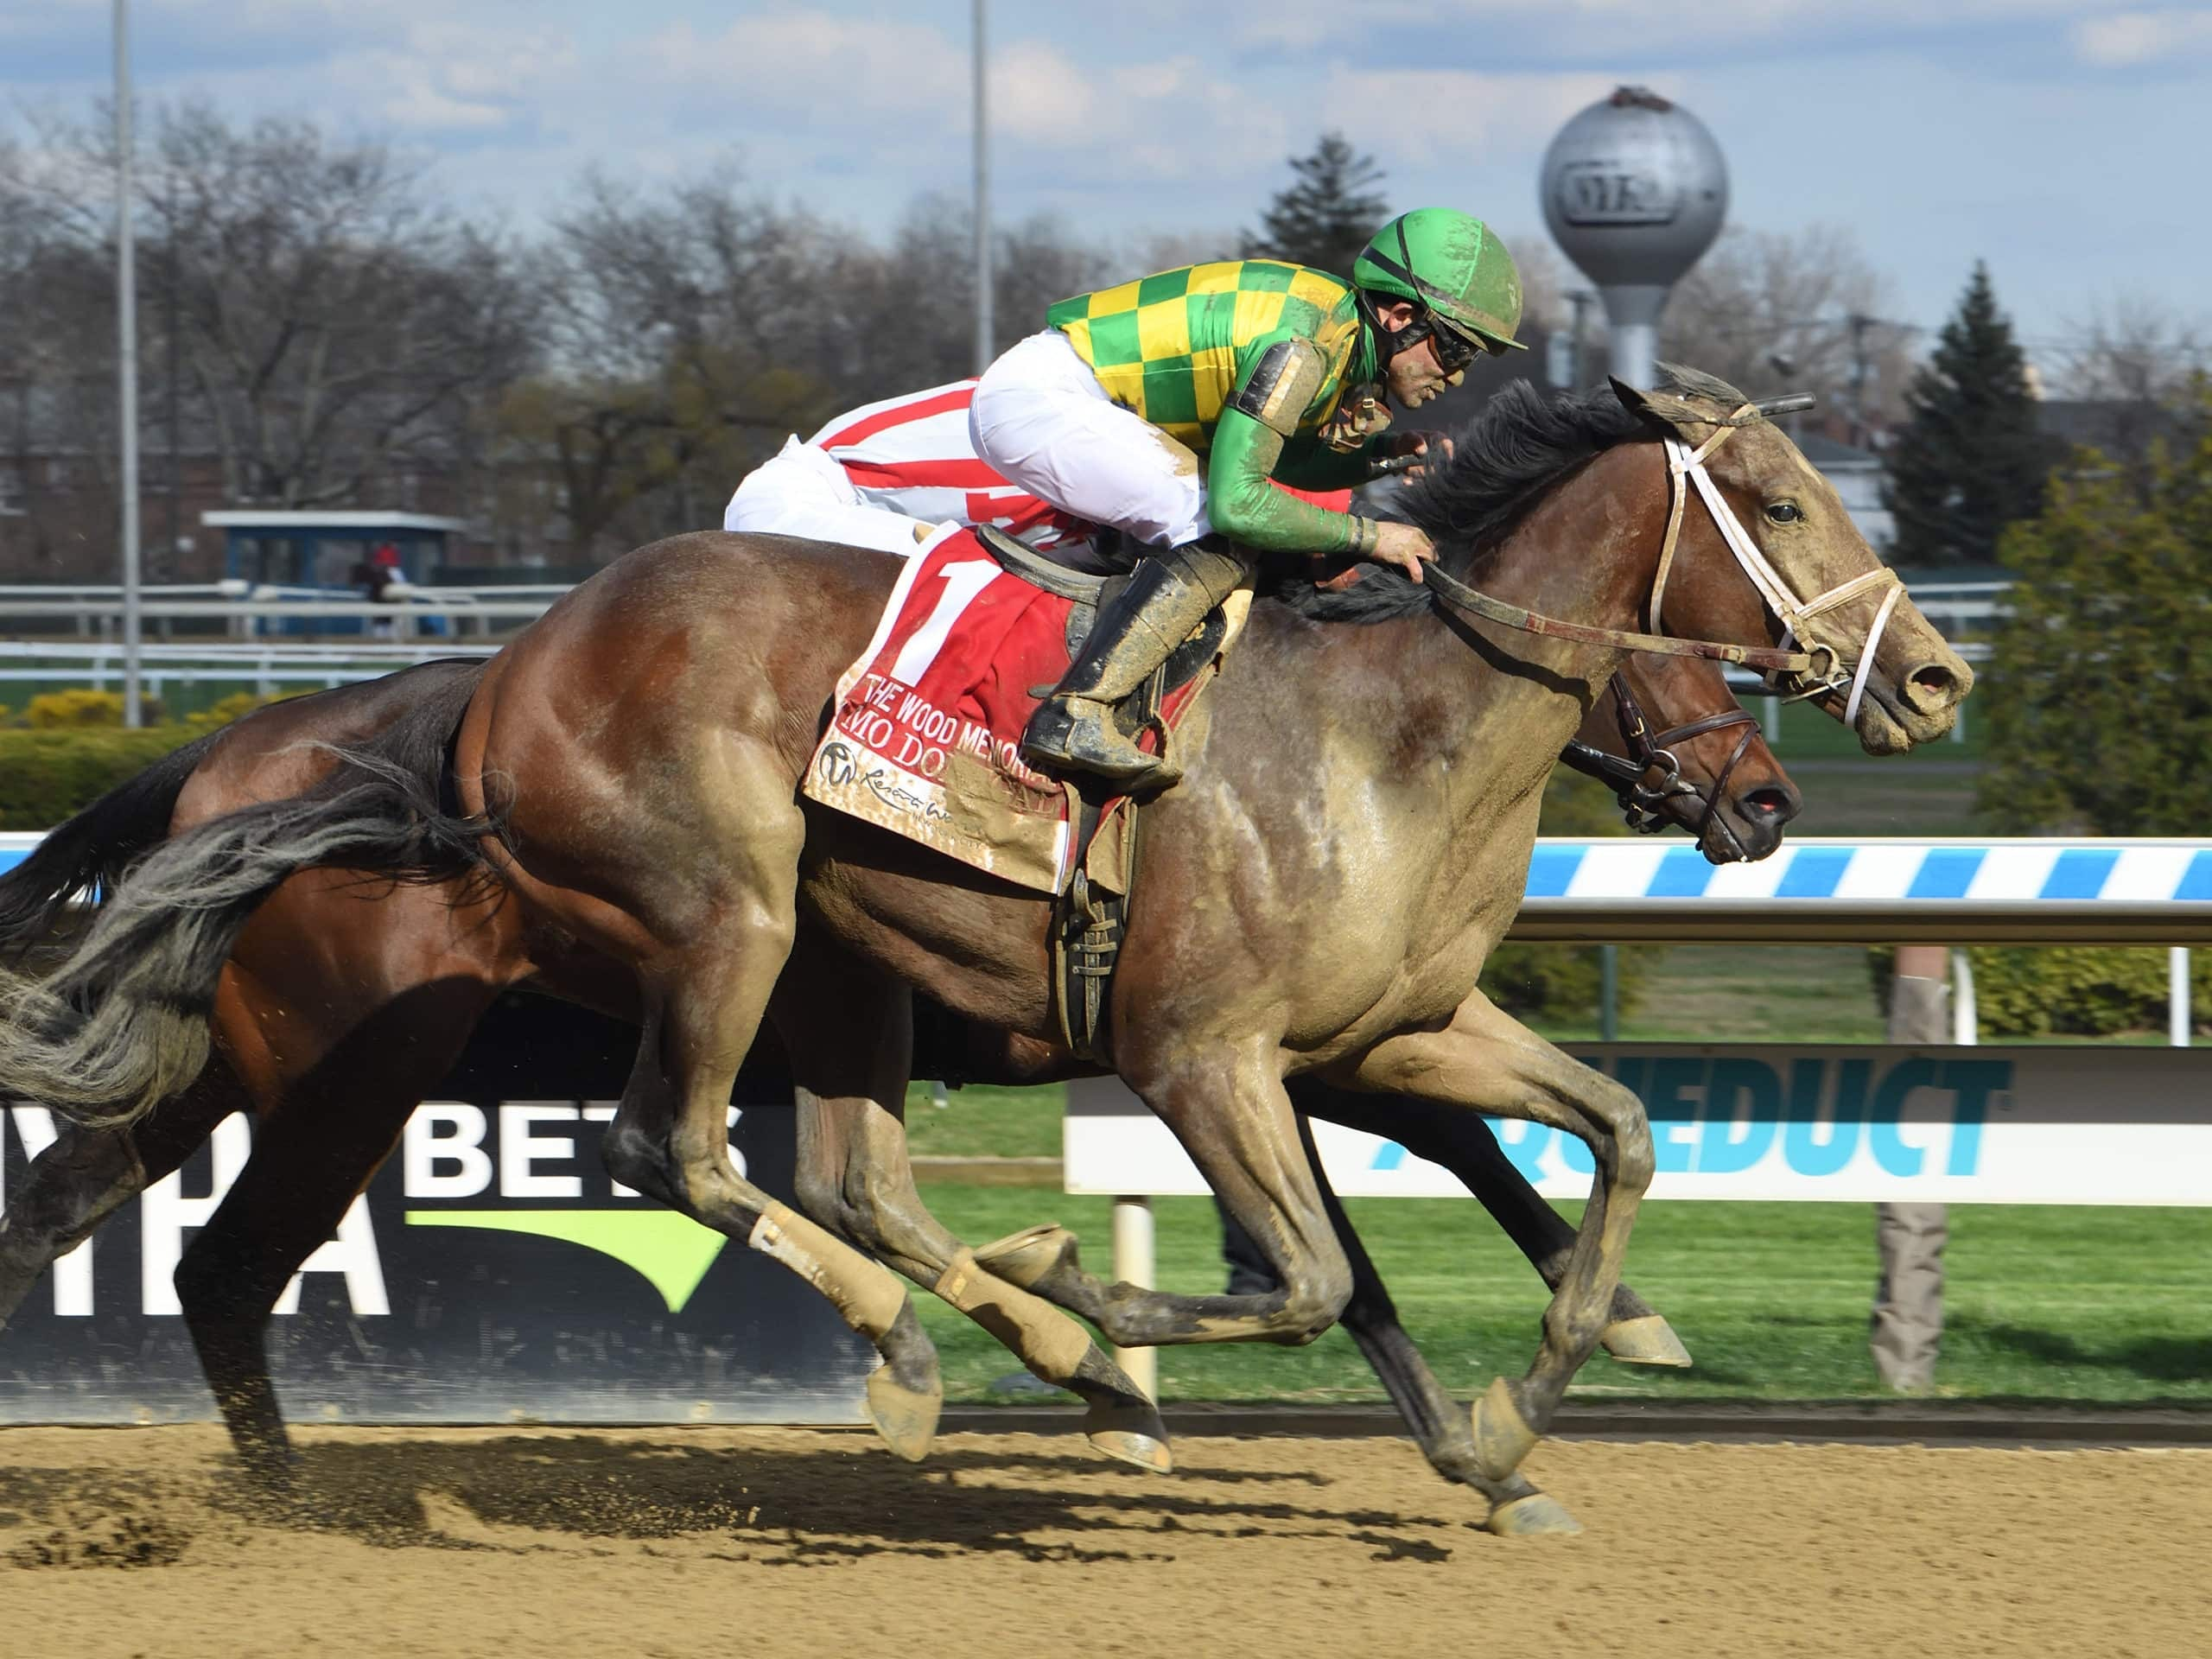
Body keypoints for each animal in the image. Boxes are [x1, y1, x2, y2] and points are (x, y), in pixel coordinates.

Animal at [0, 370, 1969, 1533]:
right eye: (1779, 510)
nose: (1933, 681)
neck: (1380, 731)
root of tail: (491, 683)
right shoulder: (1209, 1054)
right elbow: (1318, 1271)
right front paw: (1105, 1322)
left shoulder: (1385, 1034)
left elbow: (1599, 1139)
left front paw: (1530, 1407)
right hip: (671, 942)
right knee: (656, 1152)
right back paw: (942, 1351)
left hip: (436, 1037)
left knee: (151, 1236)